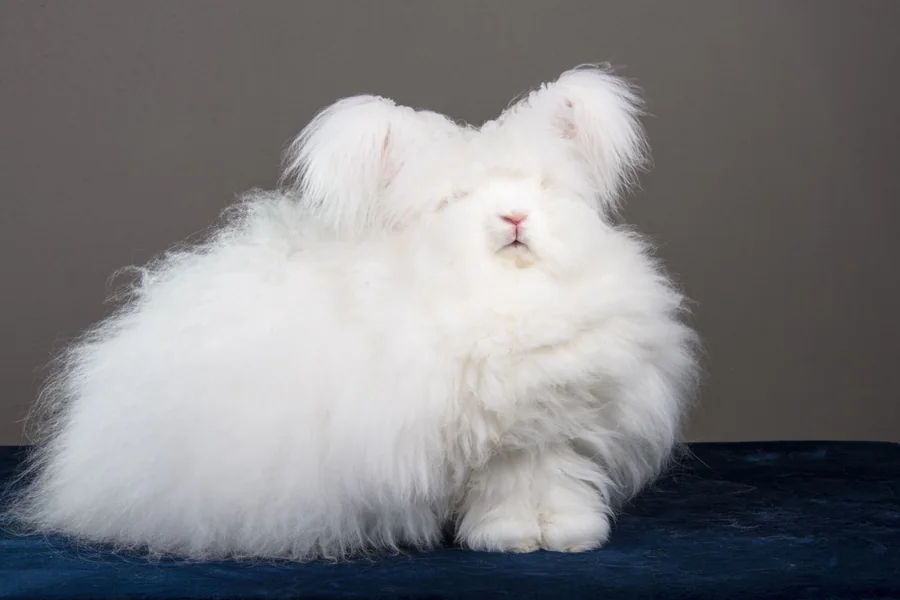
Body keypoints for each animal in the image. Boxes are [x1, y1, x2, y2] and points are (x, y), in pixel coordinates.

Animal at [6, 65, 699, 561]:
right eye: (456, 199)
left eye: (546, 189)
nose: (514, 218)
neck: (505, 297)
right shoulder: (494, 444)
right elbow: (505, 494)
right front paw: (508, 540)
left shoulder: (549, 436)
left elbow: (547, 486)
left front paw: (563, 537)